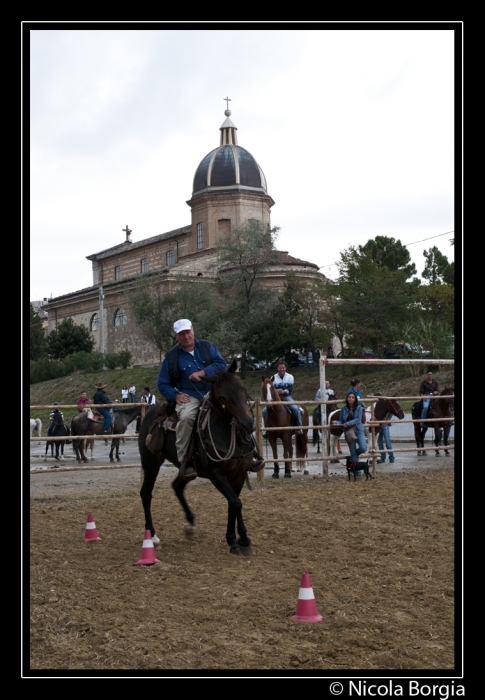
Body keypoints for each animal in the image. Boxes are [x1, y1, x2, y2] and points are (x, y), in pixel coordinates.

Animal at [137, 358, 258, 556]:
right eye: (222, 397)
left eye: (241, 387)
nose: (248, 424)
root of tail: (150, 413)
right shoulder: (215, 473)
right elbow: (235, 501)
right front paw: (238, 540)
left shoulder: (239, 474)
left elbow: (234, 503)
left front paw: (240, 540)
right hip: (150, 463)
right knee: (146, 494)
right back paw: (152, 537)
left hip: (186, 468)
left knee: (177, 486)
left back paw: (190, 525)